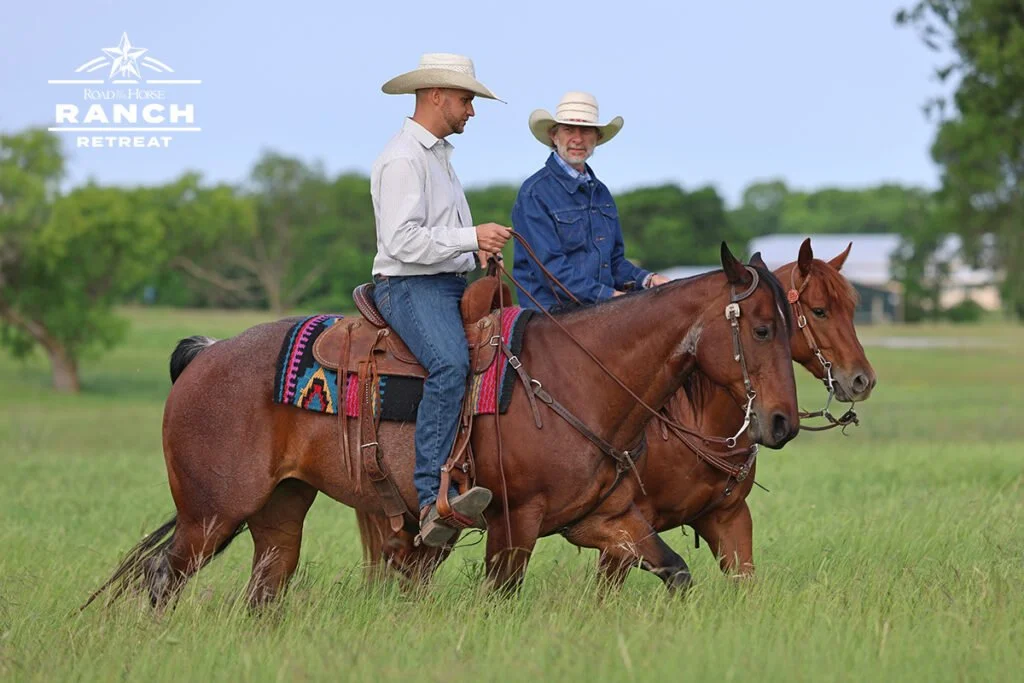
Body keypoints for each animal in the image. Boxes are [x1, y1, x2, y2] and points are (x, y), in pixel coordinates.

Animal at [84, 243, 800, 610]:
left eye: (795, 325)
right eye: (764, 328)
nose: (782, 422)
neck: (579, 378)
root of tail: (205, 356)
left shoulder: (606, 519)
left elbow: (675, 571)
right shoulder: (514, 521)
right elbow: (500, 598)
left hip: (280, 511)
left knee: (265, 587)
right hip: (212, 513)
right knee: (163, 579)